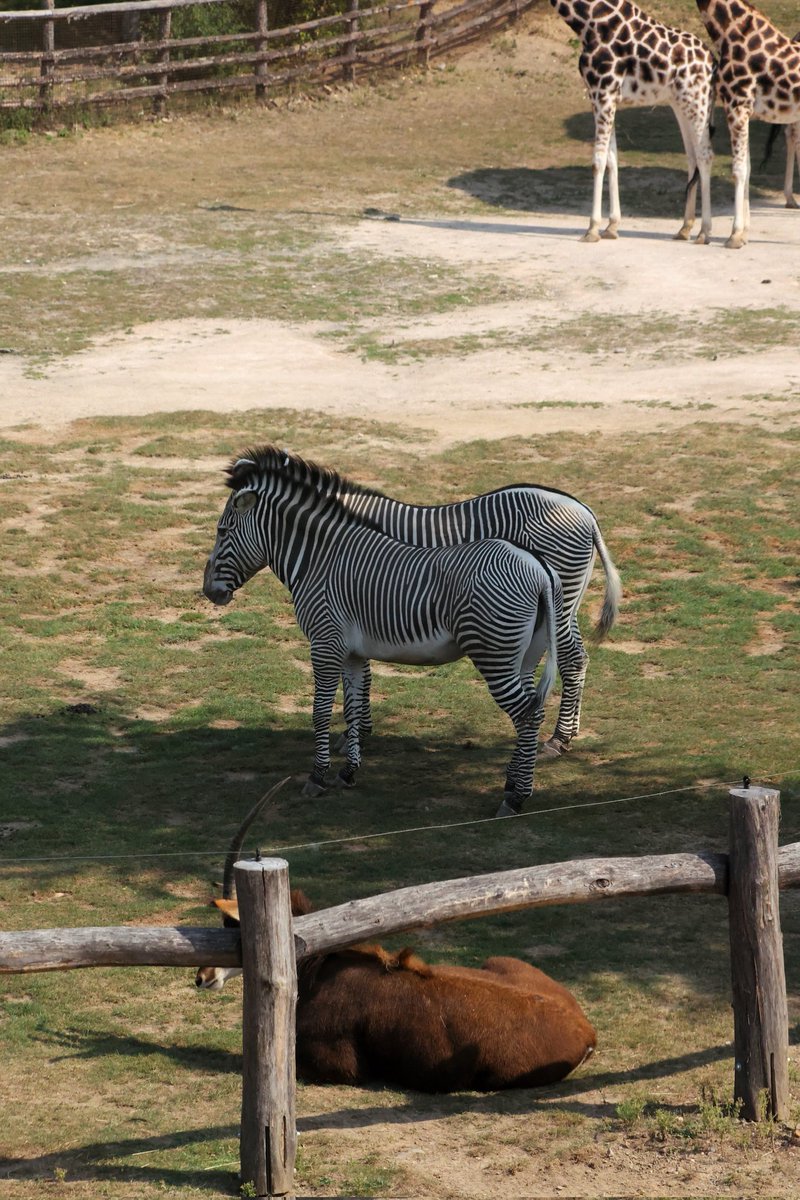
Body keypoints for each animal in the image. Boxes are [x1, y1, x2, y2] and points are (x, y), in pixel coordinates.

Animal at [202, 446, 567, 816]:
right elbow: (351, 709)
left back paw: (515, 797)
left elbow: (320, 712)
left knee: (526, 716)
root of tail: (538, 567)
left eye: (222, 531)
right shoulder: (351, 652)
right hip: (524, 657)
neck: (320, 559)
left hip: (495, 655)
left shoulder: (324, 643)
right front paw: (347, 773)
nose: (208, 592)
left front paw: (317, 777)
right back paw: (513, 784)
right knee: (533, 711)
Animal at [249, 449, 621, 758]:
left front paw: (355, 734)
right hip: (564, 602)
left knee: (572, 659)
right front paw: (359, 730)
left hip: (561, 597)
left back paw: (558, 739)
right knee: (577, 658)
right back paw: (563, 735)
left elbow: (360, 671)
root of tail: (585, 512)